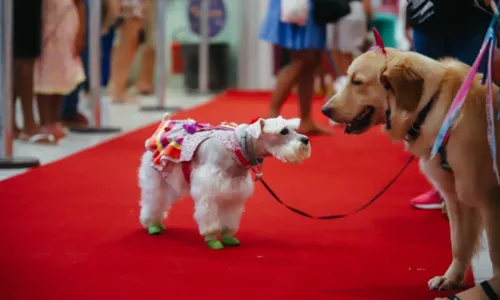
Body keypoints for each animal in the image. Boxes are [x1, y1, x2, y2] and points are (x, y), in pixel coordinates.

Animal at [139, 116, 310, 250]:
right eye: (283, 131)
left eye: (295, 128)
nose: (306, 140)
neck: (239, 145)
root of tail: (164, 123)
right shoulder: (208, 190)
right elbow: (209, 217)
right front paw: (212, 239)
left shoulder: (234, 191)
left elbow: (229, 217)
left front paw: (228, 236)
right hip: (156, 179)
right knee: (153, 200)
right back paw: (152, 224)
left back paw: (157, 222)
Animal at [322, 48, 500, 290]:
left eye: (357, 82)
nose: (324, 110)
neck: (433, 107)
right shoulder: (456, 197)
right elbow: (459, 243)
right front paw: (451, 277)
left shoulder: (489, 199)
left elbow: (494, 253)